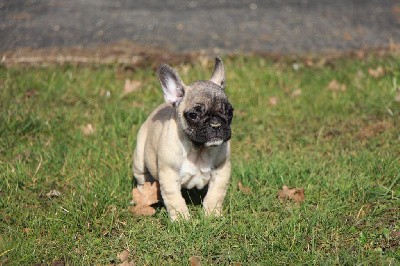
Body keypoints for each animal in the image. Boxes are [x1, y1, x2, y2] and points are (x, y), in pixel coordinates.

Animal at [133, 57, 233, 220]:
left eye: (229, 112)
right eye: (193, 115)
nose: (216, 124)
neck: (197, 150)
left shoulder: (221, 172)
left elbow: (215, 195)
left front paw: (212, 214)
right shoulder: (169, 176)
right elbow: (175, 199)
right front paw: (182, 219)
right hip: (139, 158)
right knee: (142, 176)